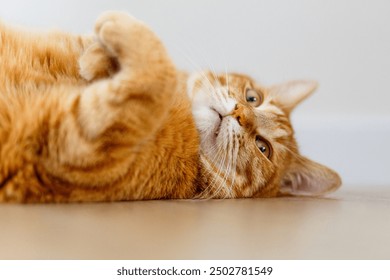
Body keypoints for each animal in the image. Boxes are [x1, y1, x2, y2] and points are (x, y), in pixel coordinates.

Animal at [0, 12, 342, 202]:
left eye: (263, 148)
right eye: (252, 98)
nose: (239, 113)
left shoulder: (78, 144)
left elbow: (158, 68)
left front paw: (117, 29)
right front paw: (97, 56)